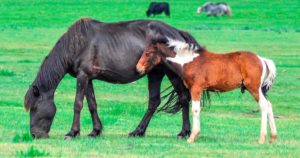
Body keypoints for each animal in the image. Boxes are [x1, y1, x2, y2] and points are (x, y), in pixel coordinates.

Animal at [136, 40, 276, 144]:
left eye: (148, 53)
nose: (138, 68)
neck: (188, 61)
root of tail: (262, 59)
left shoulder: (196, 89)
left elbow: (195, 110)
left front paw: (192, 137)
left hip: (254, 88)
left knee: (264, 106)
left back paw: (262, 138)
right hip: (260, 90)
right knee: (269, 105)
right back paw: (273, 138)